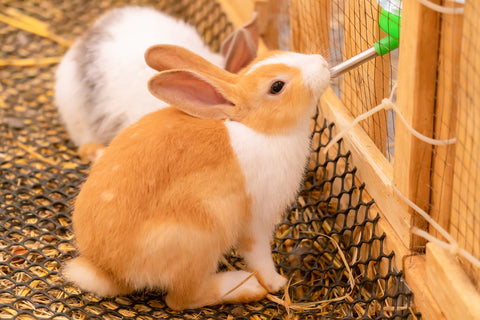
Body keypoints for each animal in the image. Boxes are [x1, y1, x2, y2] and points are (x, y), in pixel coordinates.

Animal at [62, 44, 330, 310]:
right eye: (277, 86)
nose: (323, 63)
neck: (261, 130)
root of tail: (107, 270)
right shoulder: (257, 220)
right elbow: (259, 255)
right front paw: (276, 282)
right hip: (198, 237)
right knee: (181, 299)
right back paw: (245, 287)